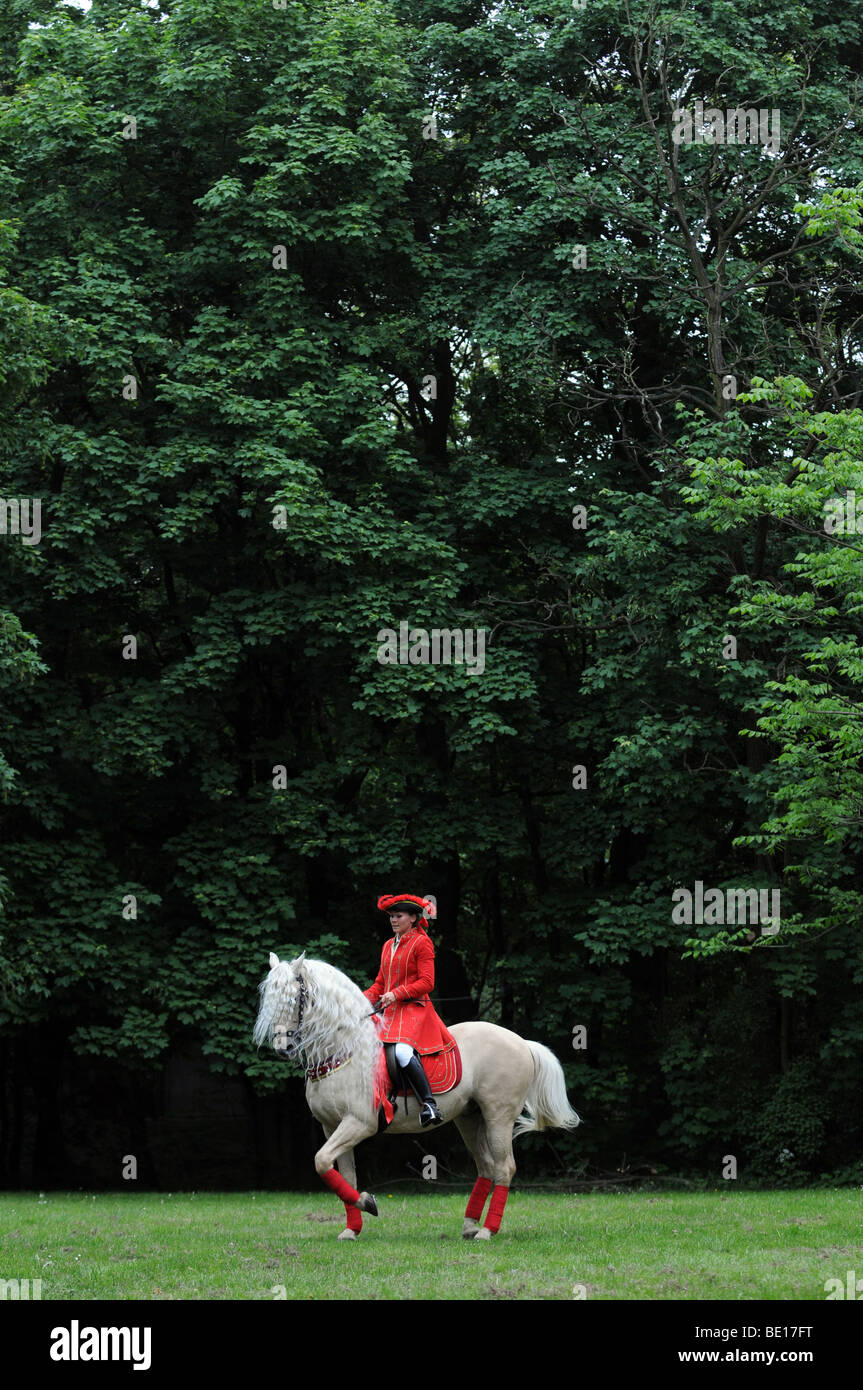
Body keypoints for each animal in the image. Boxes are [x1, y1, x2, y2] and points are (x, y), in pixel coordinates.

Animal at [254, 956, 578, 1239]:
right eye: (269, 999)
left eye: (293, 999)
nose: (282, 1048)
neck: (345, 1050)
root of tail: (521, 1041)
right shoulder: (331, 1126)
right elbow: (342, 1174)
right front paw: (353, 1226)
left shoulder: (358, 1123)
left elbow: (321, 1161)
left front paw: (368, 1204)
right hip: (469, 1118)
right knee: (486, 1166)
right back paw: (470, 1226)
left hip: (499, 1115)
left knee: (504, 1167)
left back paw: (488, 1230)